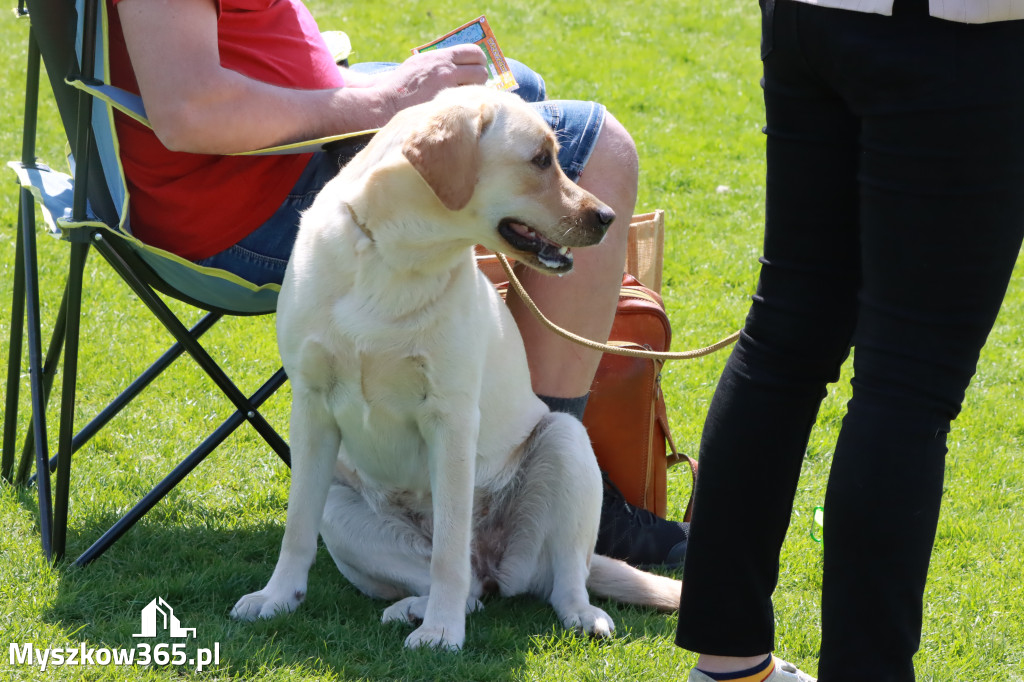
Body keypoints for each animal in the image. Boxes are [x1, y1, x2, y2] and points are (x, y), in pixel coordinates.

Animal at [232, 84, 679, 647]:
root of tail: (495, 564)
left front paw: (442, 633)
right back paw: (412, 608)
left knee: (555, 575)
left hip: (566, 441)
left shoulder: (450, 417)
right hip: (339, 506)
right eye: (540, 159)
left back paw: (577, 613)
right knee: (472, 589)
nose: (607, 217)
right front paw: (276, 597)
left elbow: (449, 549)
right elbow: (295, 530)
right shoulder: (311, 407)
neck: (395, 258)